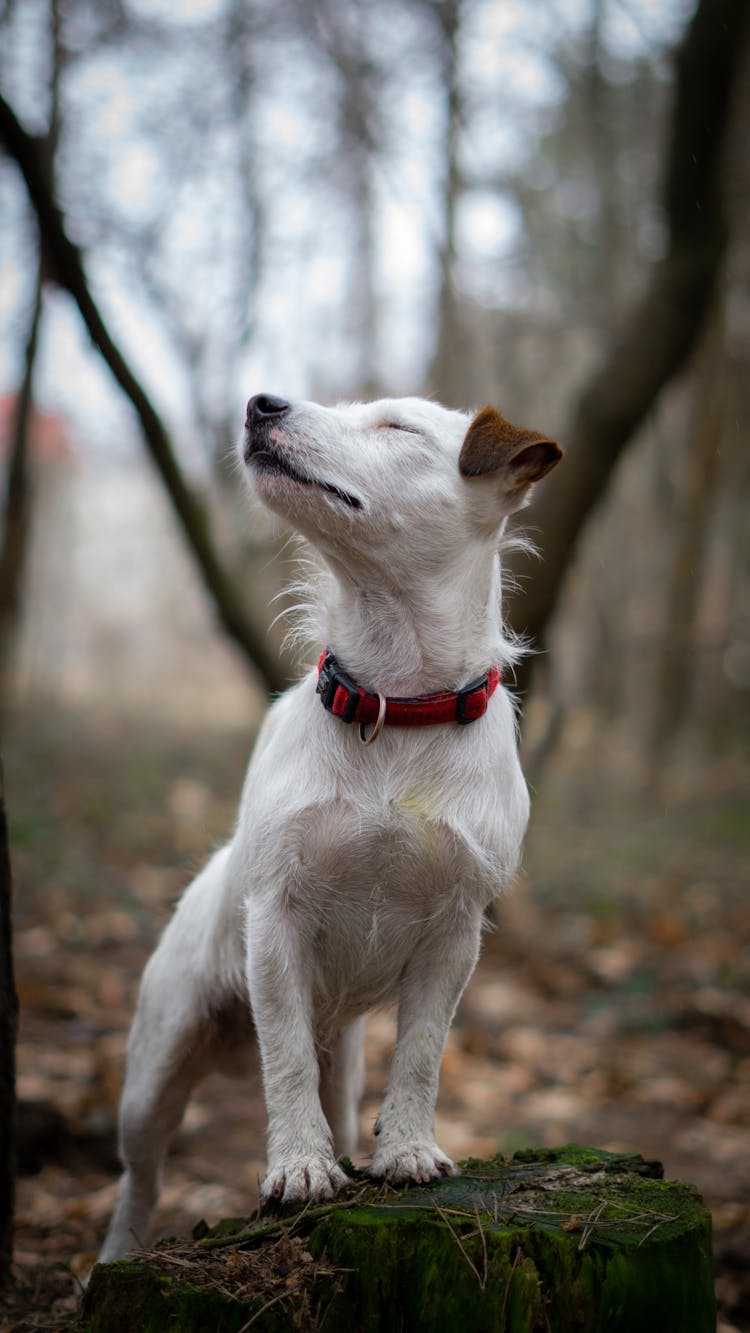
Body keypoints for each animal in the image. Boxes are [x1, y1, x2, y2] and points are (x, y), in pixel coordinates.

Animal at [96, 391, 559, 1258]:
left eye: (396, 427)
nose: (261, 402)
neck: (395, 706)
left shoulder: (455, 933)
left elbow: (421, 1052)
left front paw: (406, 1149)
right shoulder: (278, 918)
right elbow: (283, 1063)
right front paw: (300, 1167)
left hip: (341, 1057)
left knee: (336, 1096)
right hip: (154, 1068)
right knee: (141, 1177)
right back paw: (116, 1256)